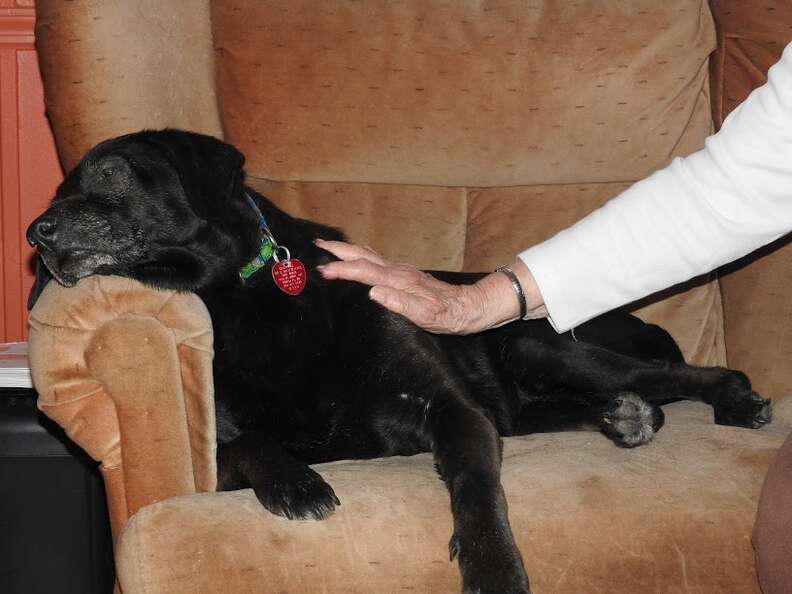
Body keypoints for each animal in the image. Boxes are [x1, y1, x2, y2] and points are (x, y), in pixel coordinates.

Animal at [27, 131, 772, 592]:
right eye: (57, 189)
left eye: (108, 173)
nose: (35, 233)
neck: (240, 298)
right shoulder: (219, 452)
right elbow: (249, 445)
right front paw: (295, 482)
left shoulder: (451, 411)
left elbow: (476, 487)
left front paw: (494, 569)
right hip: (524, 402)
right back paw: (625, 418)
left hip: (537, 343)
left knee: (685, 376)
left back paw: (732, 399)